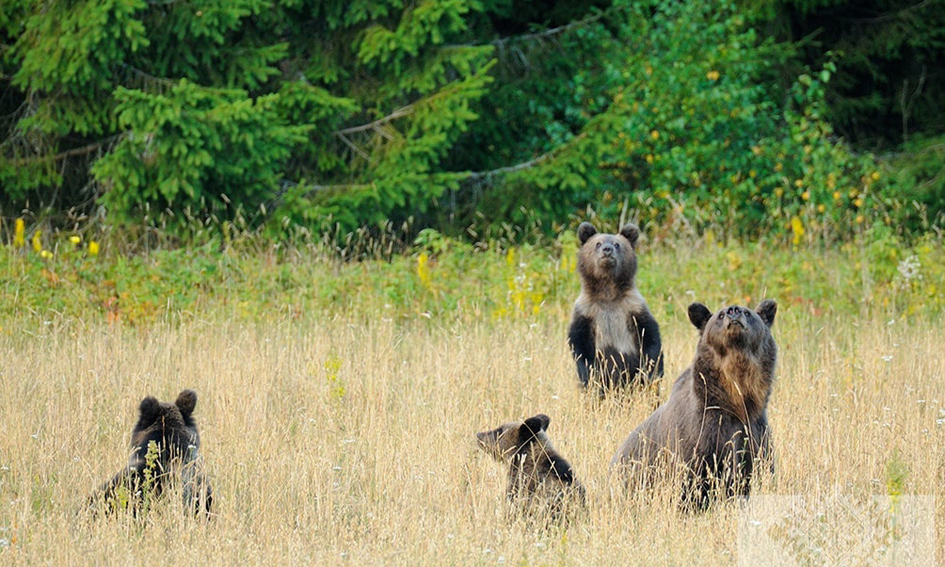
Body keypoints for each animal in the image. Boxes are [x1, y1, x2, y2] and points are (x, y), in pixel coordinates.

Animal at [612, 302, 776, 510]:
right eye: (720, 315)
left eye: (748, 313)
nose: (733, 310)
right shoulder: (699, 434)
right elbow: (690, 480)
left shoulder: (754, 431)